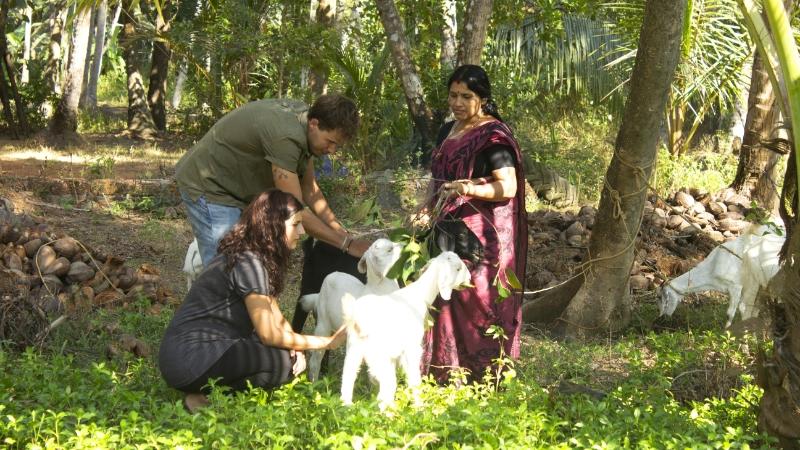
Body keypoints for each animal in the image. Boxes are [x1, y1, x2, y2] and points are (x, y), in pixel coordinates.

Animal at [340, 253, 476, 412]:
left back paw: (347, 406)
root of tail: (358, 317)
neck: (419, 294)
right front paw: (419, 407)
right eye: (458, 268)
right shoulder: (412, 348)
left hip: (354, 350)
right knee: (385, 391)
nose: (470, 279)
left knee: (348, 379)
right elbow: (414, 379)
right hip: (378, 356)